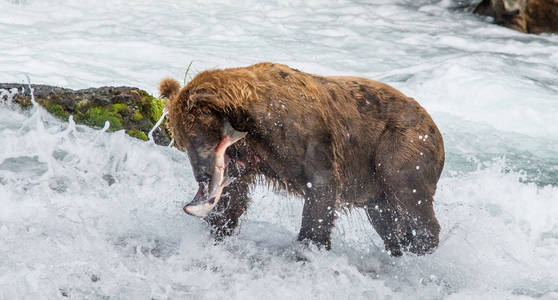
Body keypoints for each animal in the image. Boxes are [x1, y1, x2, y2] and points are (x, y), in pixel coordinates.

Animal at [161, 62, 446, 255]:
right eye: (182, 141)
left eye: (195, 137)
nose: (202, 175)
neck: (251, 123)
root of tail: (433, 121)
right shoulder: (248, 158)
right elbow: (233, 197)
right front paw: (216, 231)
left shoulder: (305, 136)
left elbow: (321, 189)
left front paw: (310, 244)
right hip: (372, 179)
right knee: (385, 216)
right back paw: (401, 244)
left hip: (399, 145)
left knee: (408, 193)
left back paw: (421, 242)